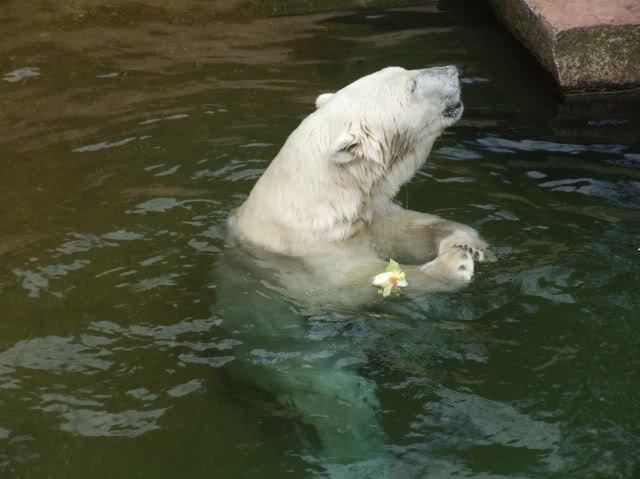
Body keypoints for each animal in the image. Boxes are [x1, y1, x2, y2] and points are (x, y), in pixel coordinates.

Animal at [218, 65, 489, 476]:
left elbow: (405, 228)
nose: (454, 70)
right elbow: (356, 282)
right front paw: (454, 265)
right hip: (297, 363)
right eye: (411, 84)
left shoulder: (368, 218)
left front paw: (465, 240)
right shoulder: (308, 255)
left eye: (404, 70)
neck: (320, 198)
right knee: (340, 401)